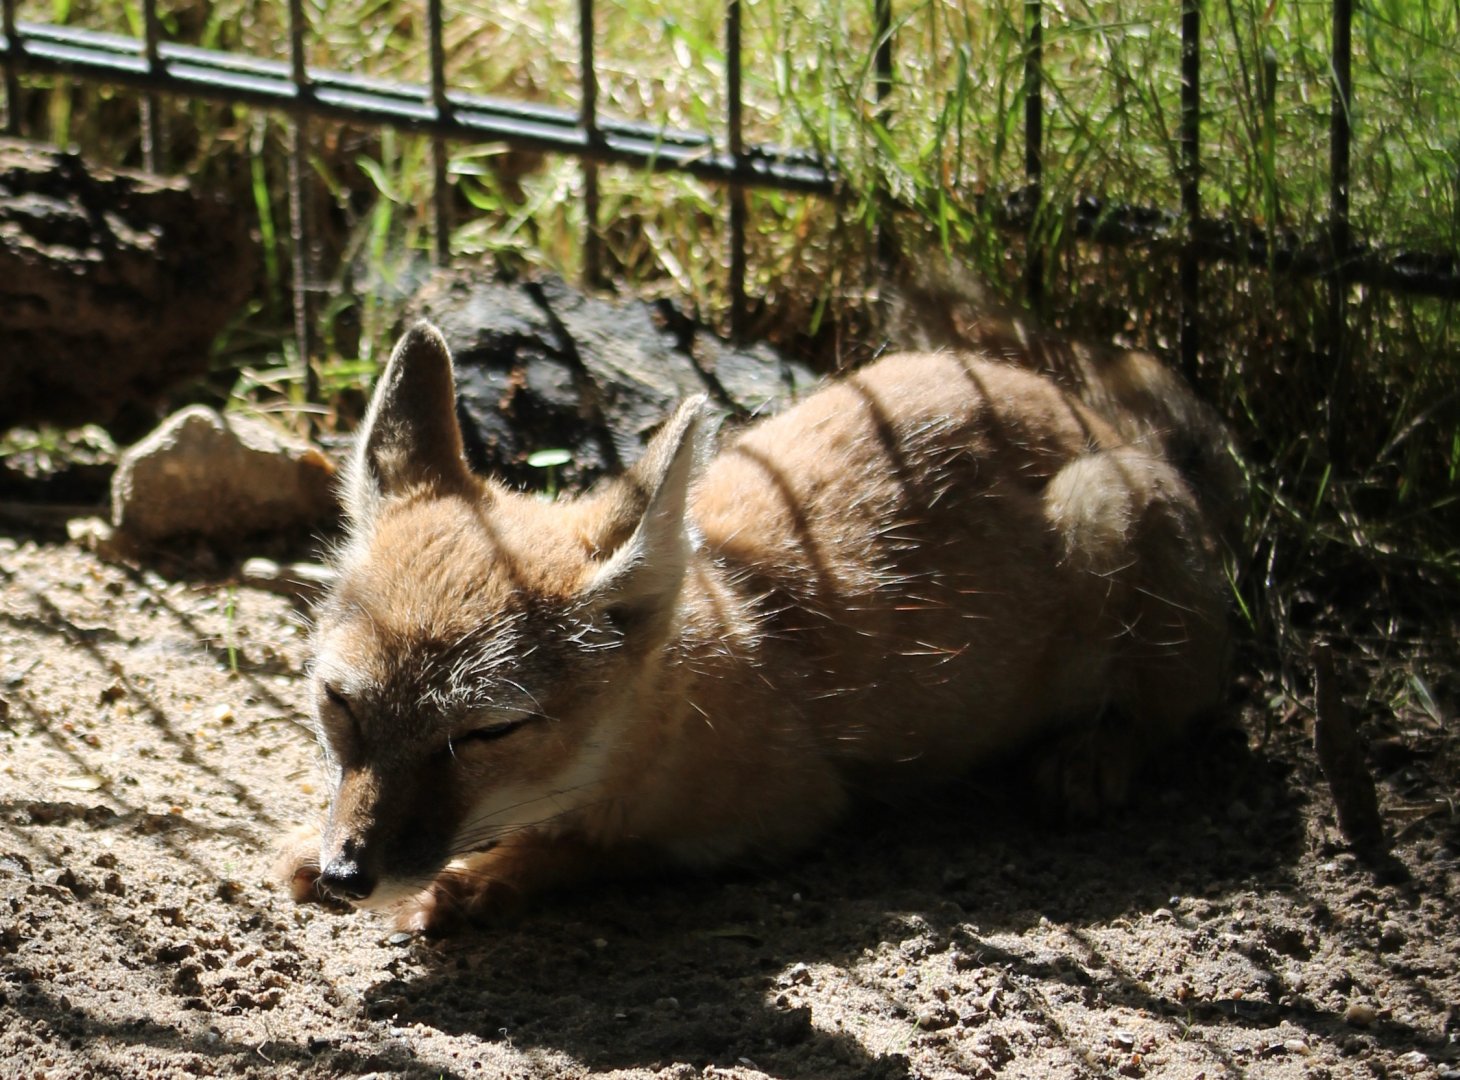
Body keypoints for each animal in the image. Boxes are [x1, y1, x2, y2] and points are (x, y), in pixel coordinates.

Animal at [275, 318, 1234, 934]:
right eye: (340, 705)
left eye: (486, 733)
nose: (351, 875)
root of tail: (1090, 415)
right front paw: (311, 845)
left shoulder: (781, 817)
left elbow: (587, 846)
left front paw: (479, 880)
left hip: (1105, 515)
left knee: (1176, 710)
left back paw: (1096, 754)